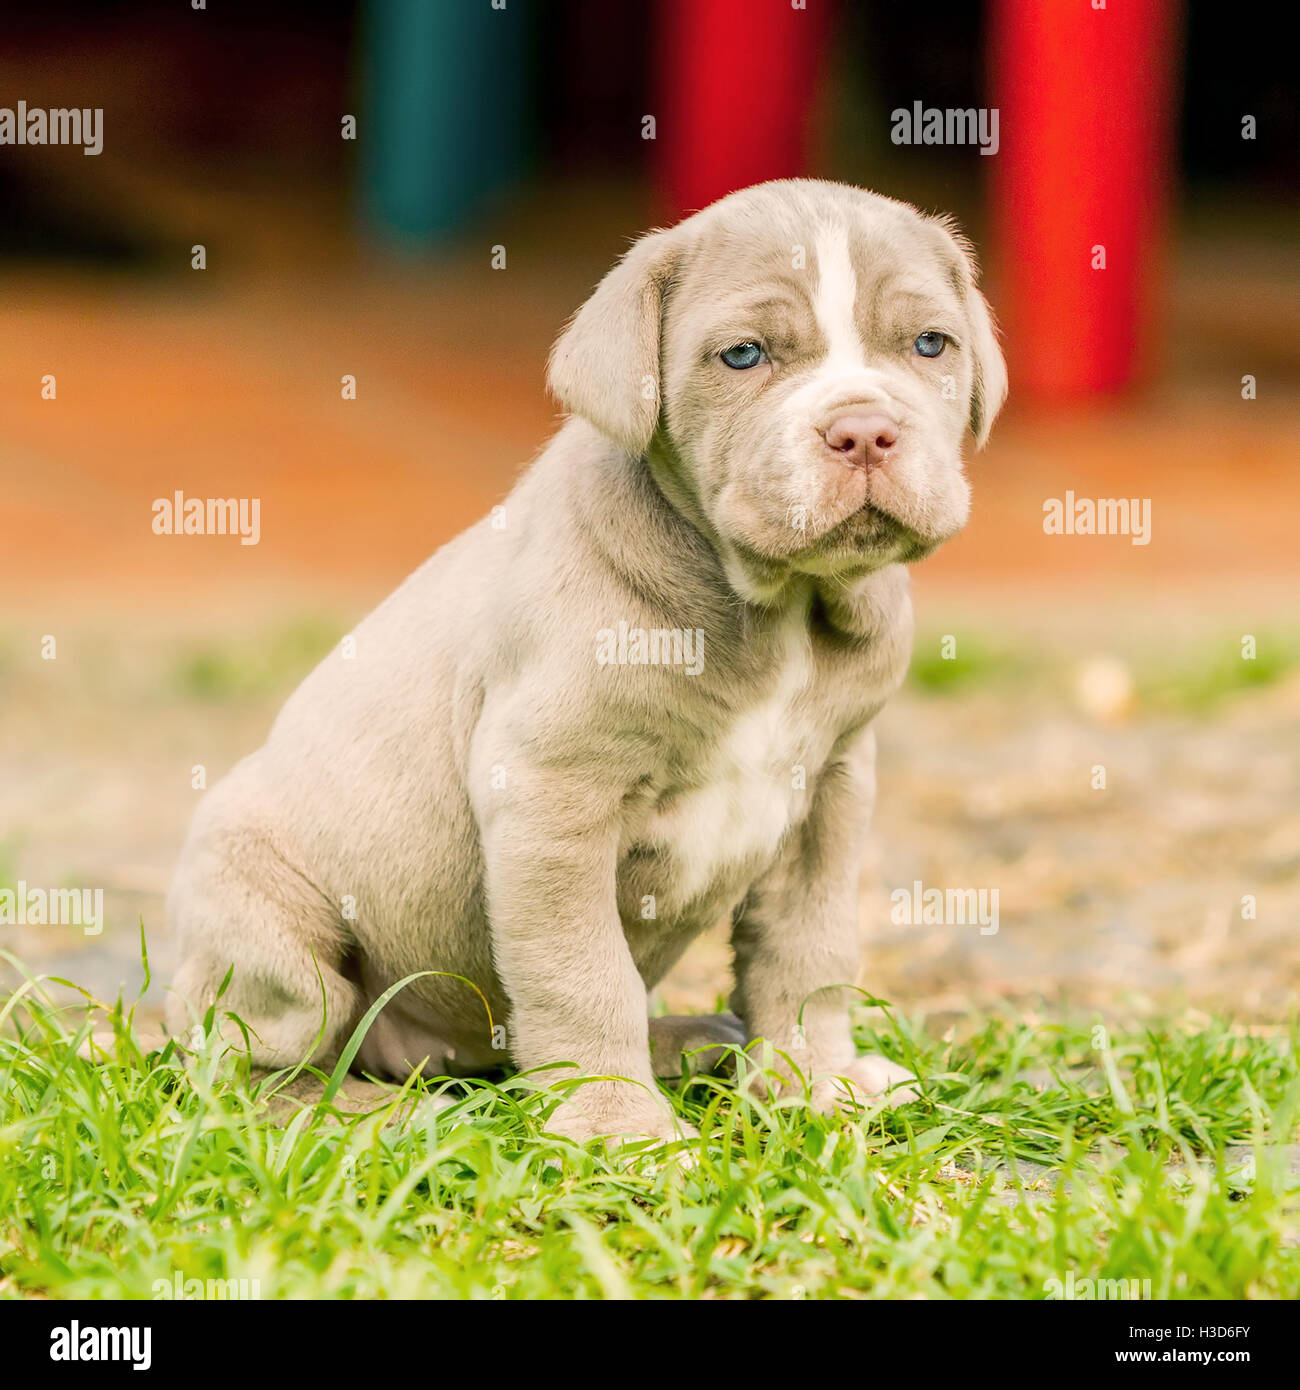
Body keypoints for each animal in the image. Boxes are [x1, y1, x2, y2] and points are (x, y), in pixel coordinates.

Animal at [167, 179, 1012, 1145]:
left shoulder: (831, 789)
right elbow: (582, 971)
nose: (865, 431)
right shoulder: (552, 792)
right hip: (266, 915)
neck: (779, 608)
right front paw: (619, 1125)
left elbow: (809, 945)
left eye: (930, 344)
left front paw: (817, 1079)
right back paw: (378, 1113)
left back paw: (690, 1044)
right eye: (744, 355)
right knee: (247, 1067)